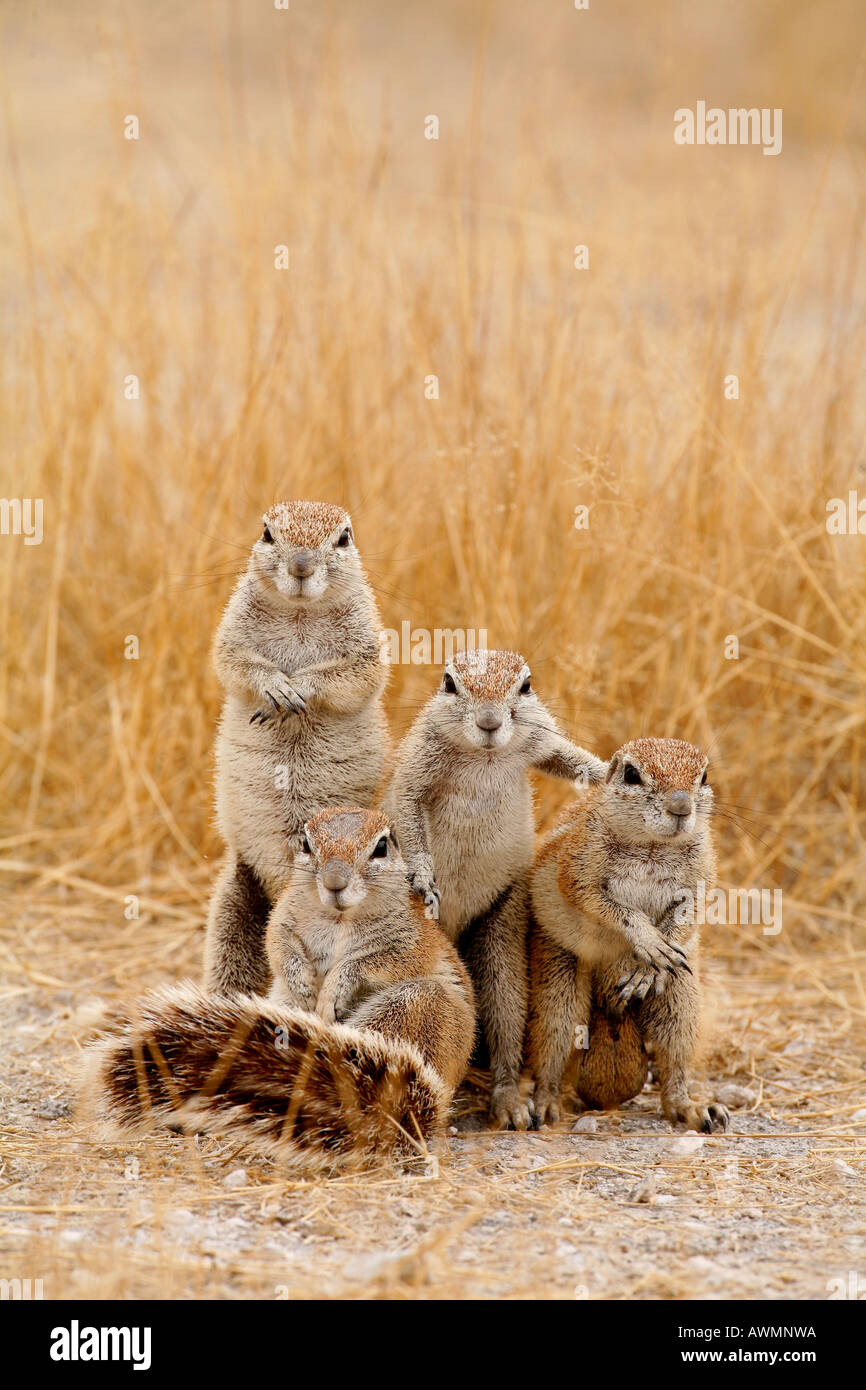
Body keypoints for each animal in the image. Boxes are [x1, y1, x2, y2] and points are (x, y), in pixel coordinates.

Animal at [83, 808, 476, 1171]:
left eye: (381, 847)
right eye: (306, 844)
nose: (334, 882)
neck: (339, 918)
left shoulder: (413, 941)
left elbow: (377, 961)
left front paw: (334, 986)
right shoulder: (283, 918)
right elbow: (278, 946)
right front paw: (301, 980)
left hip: (416, 1005)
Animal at [204, 500, 389, 997]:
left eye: (343, 538)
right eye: (267, 533)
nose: (301, 566)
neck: (300, 614)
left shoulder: (367, 644)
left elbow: (351, 675)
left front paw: (301, 687)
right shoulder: (232, 630)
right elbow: (233, 662)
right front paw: (275, 686)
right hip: (235, 900)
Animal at [385, 648, 606, 1130]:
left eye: (525, 685)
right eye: (449, 683)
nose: (489, 721)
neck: (484, 755)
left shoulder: (538, 739)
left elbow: (568, 757)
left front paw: (611, 770)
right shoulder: (418, 762)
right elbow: (408, 810)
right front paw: (424, 879)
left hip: (502, 926)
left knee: (505, 1012)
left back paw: (508, 1101)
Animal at [527, 737, 730, 1134]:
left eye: (704, 776)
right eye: (632, 774)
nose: (681, 806)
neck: (652, 846)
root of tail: (609, 1008)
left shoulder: (702, 875)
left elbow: (691, 912)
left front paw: (649, 969)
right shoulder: (577, 867)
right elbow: (610, 907)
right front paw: (649, 942)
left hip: (681, 998)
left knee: (673, 1059)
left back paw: (692, 1108)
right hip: (559, 984)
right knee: (553, 1046)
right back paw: (545, 1105)